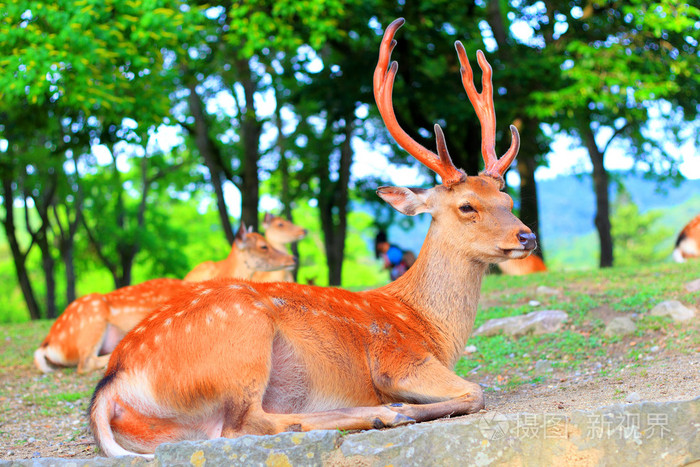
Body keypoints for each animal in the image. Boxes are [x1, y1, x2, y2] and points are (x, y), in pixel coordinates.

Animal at [89, 18, 536, 457]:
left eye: (507, 197)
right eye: (467, 206)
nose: (527, 236)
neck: (429, 327)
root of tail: (110, 385)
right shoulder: (399, 358)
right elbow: (476, 390)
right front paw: (404, 405)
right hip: (242, 339)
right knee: (246, 425)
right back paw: (384, 413)